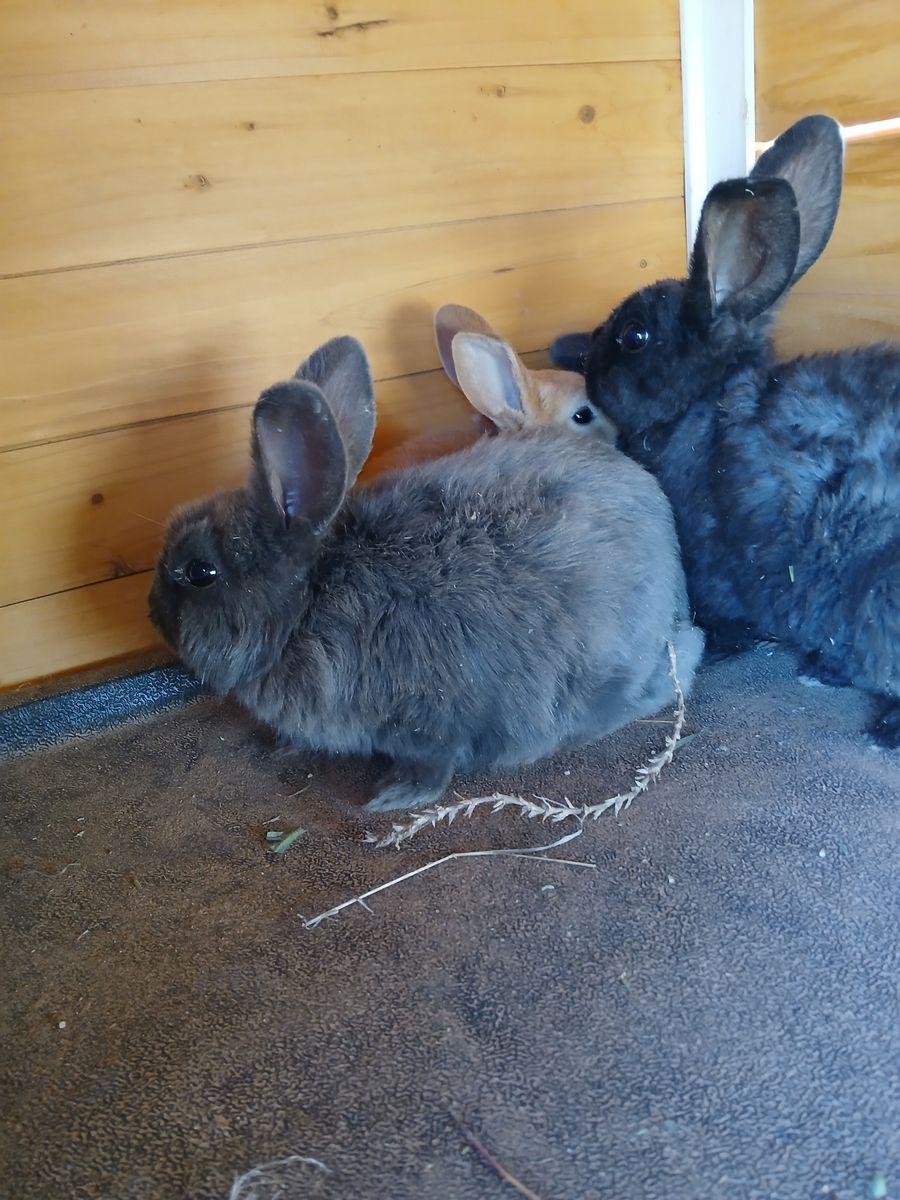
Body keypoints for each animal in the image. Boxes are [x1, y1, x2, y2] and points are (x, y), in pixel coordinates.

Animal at [149, 335, 704, 811]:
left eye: (200, 572)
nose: (152, 611)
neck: (309, 599)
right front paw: (284, 747)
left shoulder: (432, 724)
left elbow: (432, 766)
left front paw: (389, 799)